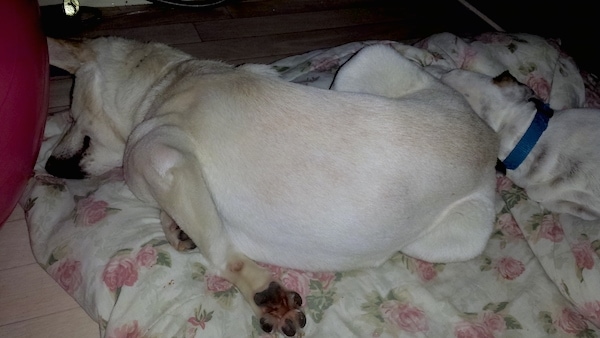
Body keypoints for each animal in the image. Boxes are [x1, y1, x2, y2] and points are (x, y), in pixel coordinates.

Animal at [45, 39, 496, 336]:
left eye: (70, 112)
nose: (46, 164)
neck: (167, 81)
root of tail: (487, 140)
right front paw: (175, 228)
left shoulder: (158, 154)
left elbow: (221, 251)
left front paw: (261, 289)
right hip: (368, 63)